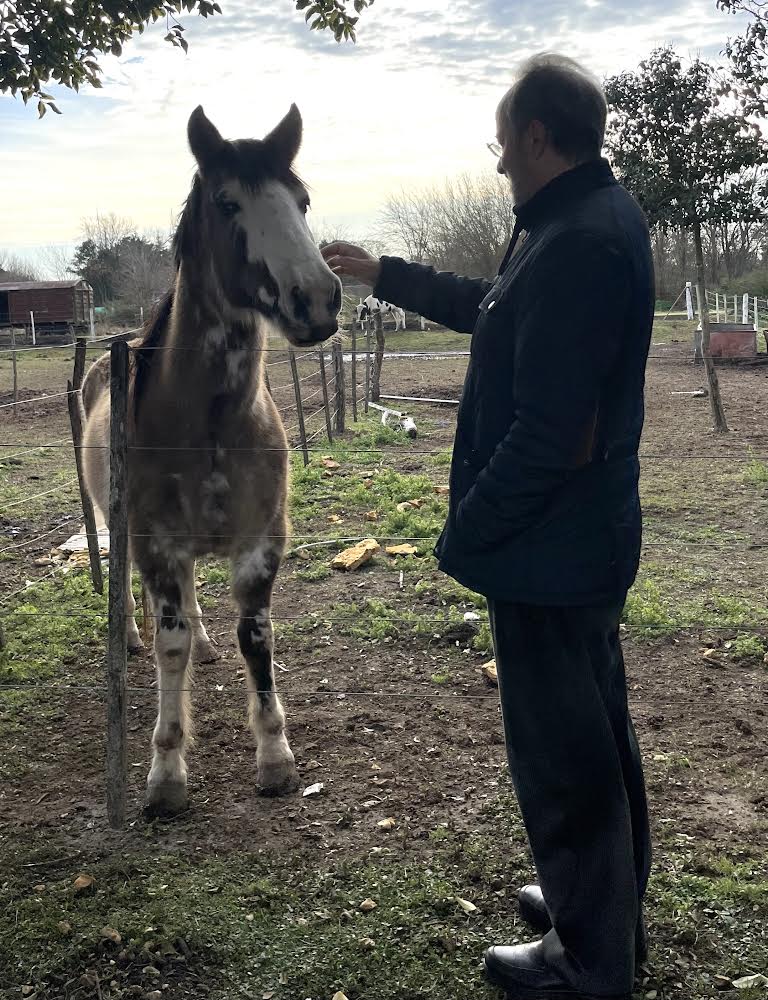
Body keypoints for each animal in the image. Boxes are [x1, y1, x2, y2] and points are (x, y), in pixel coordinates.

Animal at [80, 105, 340, 816]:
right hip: (119, 526)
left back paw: (203, 643)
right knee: (139, 599)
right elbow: (168, 648)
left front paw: (275, 757)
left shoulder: (260, 543)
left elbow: (257, 639)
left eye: (302, 201)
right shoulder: (158, 543)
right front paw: (166, 771)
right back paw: (135, 636)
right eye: (228, 203)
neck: (213, 425)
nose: (318, 298)